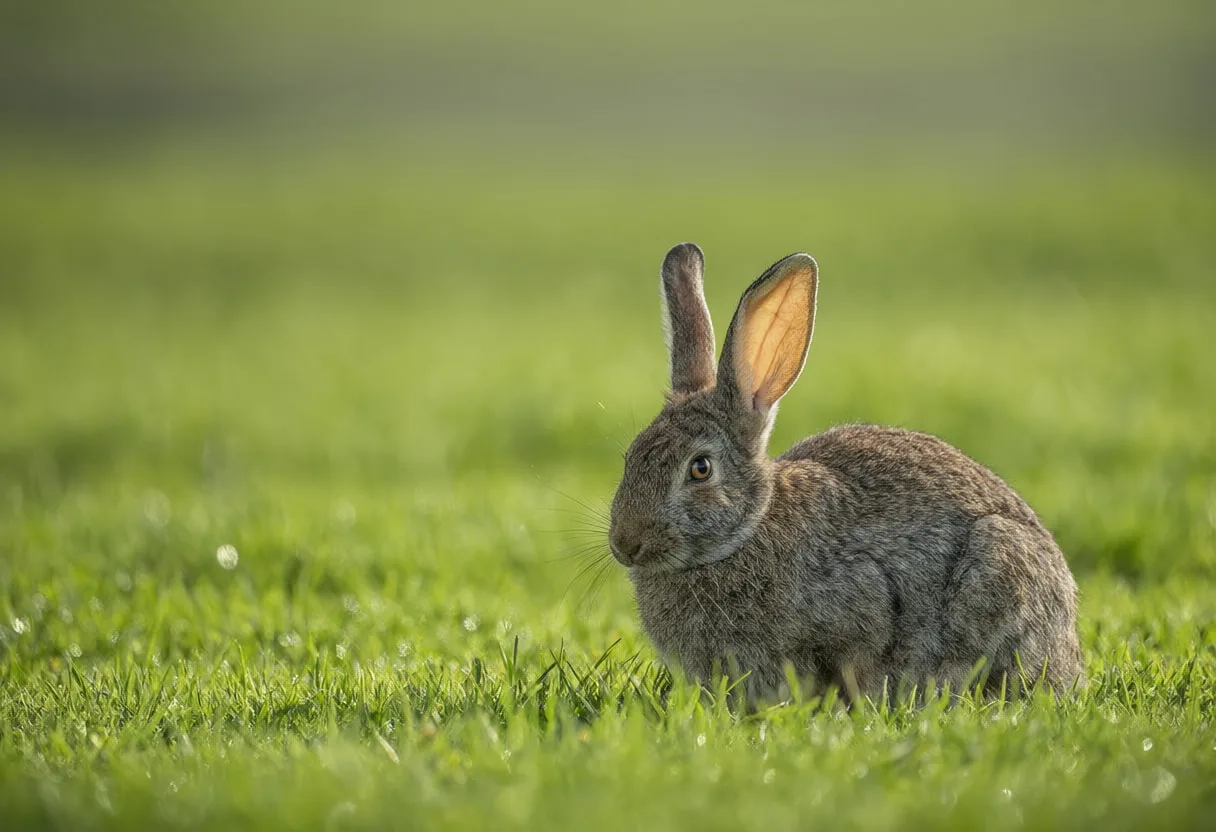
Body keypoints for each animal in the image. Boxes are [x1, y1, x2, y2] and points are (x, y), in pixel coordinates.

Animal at [608, 243, 1082, 705]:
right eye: (630, 457)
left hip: (999, 564)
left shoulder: (864, 600)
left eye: (700, 469)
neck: (746, 533)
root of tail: (1069, 658)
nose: (625, 544)